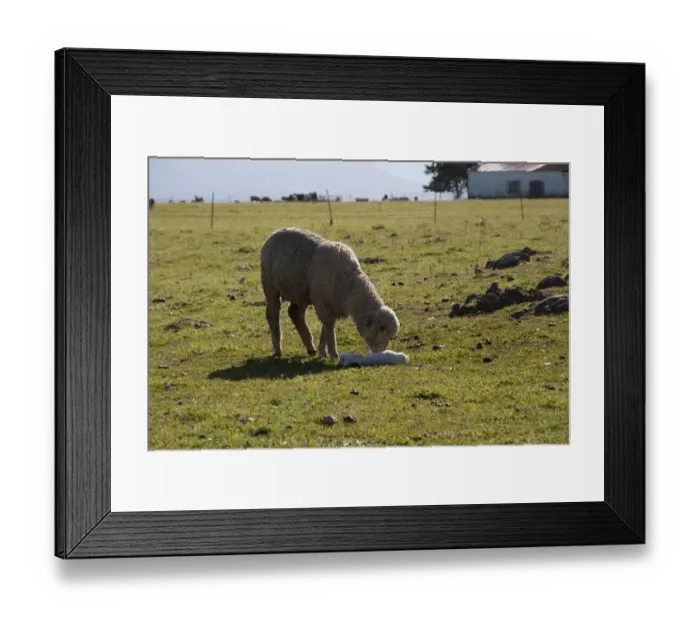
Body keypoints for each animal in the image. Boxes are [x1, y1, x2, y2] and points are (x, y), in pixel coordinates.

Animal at [260, 227, 400, 360]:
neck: (348, 283)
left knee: (295, 313)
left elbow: (325, 328)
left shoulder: (331, 303)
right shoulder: (322, 301)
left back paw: (310, 347)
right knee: (272, 314)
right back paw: (277, 349)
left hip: (301, 292)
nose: (381, 353)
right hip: (270, 286)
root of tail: (276, 232)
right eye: (379, 330)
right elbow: (328, 327)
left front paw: (322, 351)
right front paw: (333, 353)